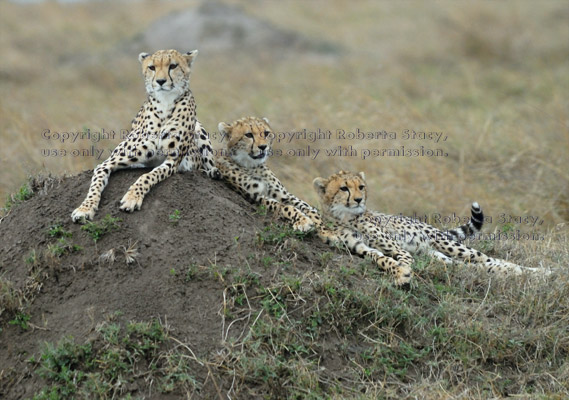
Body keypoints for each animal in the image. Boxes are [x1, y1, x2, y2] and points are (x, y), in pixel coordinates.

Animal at [72, 49, 219, 222]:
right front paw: (85, 208)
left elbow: (148, 175)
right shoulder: (109, 162)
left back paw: (213, 172)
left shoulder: (172, 161)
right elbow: (96, 181)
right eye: (152, 67)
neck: (165, 103)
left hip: (199, 129)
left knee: (209, 163)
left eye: (173, 66)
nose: (161, 81)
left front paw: (131, 198)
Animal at [316, 170, 540, 286]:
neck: (345, 217)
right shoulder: (359, 246)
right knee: (475, 266)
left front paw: (403, 270)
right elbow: (380, 258)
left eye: (361, 187)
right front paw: (399, 272)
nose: (359, 199)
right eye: (344, 188)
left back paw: (536, 272)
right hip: (438, 256)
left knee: (493, 259)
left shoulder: (397, 246)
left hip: (449, 245)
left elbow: (404, 257)